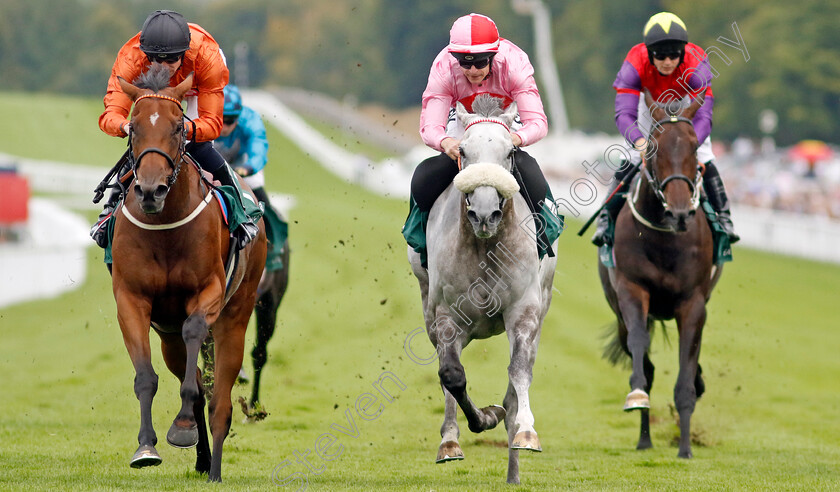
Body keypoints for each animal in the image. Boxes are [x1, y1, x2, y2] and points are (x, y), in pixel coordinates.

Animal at [109, 64, 266, 480]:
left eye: (180, 126)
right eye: (133, 128)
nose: (150, 190)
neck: (165, 225)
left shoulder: (208, 292)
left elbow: (196, 333)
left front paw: (180, 429)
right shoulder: (131, 300)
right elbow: (145, 377)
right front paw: (146, 447)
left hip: (236, 316)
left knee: (219, 399)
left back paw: (214, 469)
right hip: (167, 336)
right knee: (192, 377)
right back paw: (200, 456)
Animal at [408, 93, 556, 484]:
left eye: (510, 151)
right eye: (463, 150)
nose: (485, 213)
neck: (486, 246)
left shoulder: (523, 312)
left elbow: (518, 374)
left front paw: (526, 433)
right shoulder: (446, 315)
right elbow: (452, 376)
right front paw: (469, 428)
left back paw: (513, 471)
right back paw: (451, 441)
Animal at [596, 90, 720, 460]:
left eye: (693, 147)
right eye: (654, 147)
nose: (680, 213)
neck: (666, 238)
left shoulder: (693, 303)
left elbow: (686, 371)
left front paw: (685, 448)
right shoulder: (631, 290)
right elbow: (640, 346)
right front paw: (637, 396)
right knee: (644, 362)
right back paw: (644, 439)